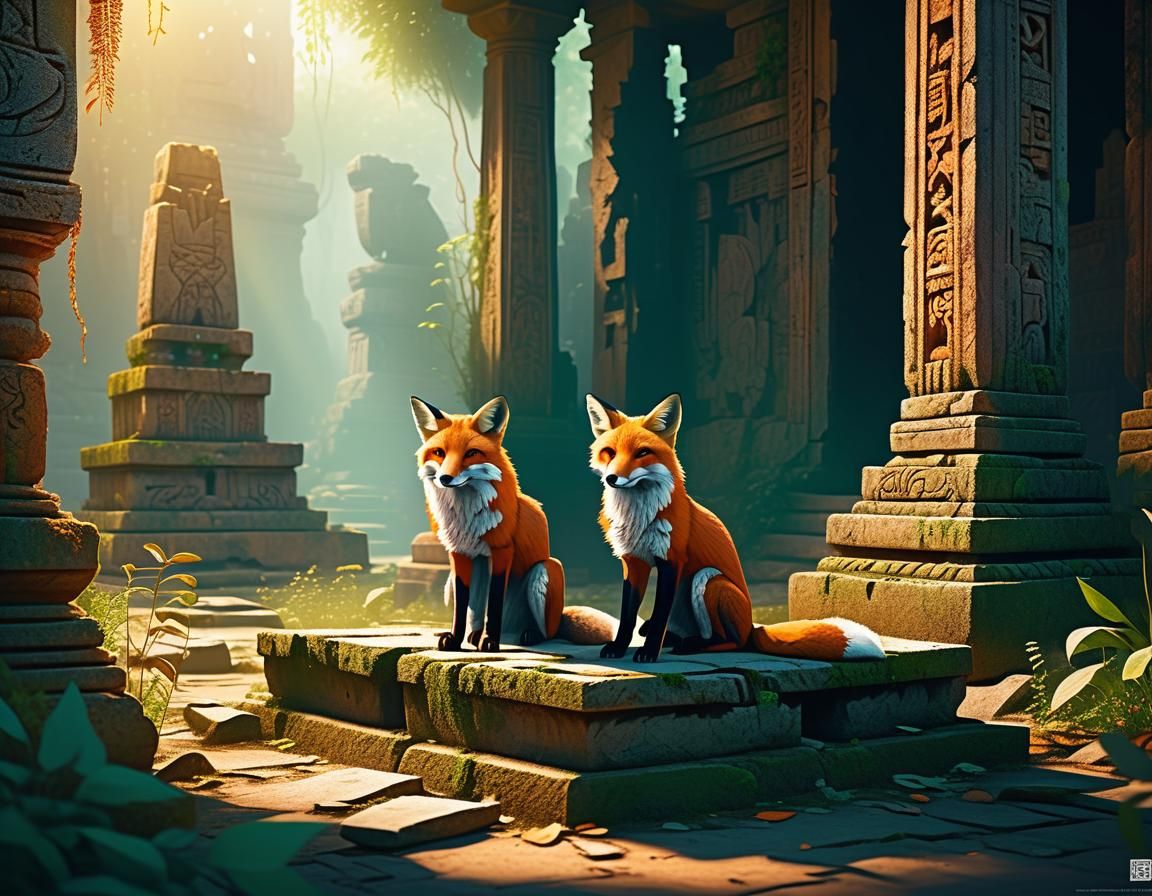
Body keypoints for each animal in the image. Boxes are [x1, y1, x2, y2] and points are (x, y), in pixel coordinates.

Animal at [412, 395, 616, 651]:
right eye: (439, 452)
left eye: (471, 453)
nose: (445, 478)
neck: (466, 515)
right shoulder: (460, 554)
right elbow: (462, 607)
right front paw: (455, 639)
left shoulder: (502, 550)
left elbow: (494, 603)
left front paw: (490, 641)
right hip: (450, 583)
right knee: (475, 614)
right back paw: (474, 636)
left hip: (545, 569)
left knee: (547, 632)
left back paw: (525, 635)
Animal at [586, 392, 886, 664]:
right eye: (609, 453)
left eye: (642, 453)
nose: (612, 478)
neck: (638, 515)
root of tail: (753, 626)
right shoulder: (633, 562)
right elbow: (627, 616)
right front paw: (618, 648)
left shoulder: (671, 560)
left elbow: (658, 615)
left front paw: (648, 653)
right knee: (668, 630)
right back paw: (677, 640)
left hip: (708, 579)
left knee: (729, 641)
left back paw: (692, 645)